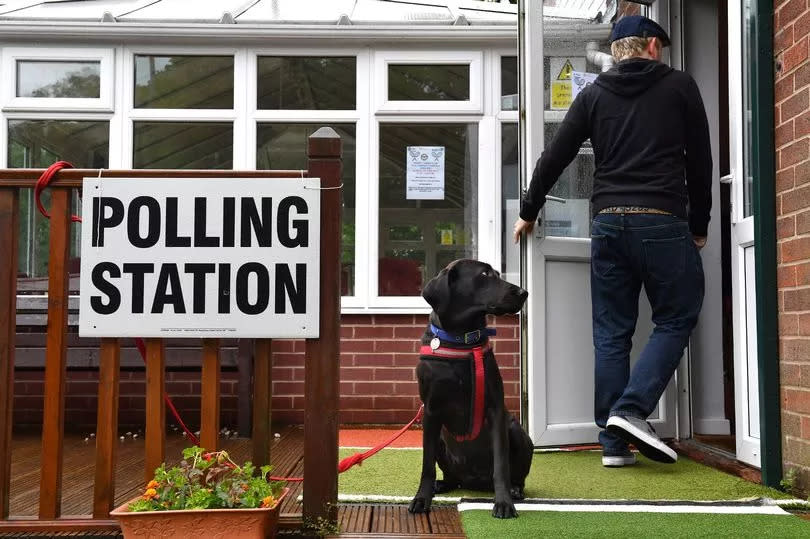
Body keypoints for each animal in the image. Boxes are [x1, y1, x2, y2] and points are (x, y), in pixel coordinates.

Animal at [408, 260, 532, 520]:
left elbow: (501, 466)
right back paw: (441, 485)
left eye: (497, 273)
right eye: (485, 274)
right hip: (442, 440)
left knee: (516, 475)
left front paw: (503, 503)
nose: (524, 292)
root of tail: (472, 481)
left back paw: (514, 490)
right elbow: (426, 465)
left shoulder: (495, 410)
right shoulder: (431, 412)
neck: (460, 341)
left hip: (516, 431)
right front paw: (422, 499)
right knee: (450, 476)